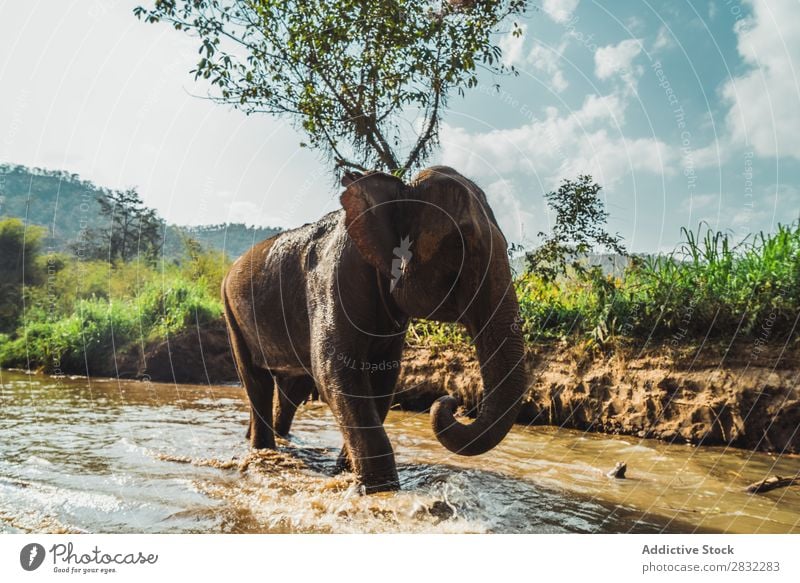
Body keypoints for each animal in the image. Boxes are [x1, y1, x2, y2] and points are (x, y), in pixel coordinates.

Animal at [222, 164, 528, 492]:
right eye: (462, 243)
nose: (450, 401)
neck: (398, 190)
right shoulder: (332, 280)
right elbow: (334, 373)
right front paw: (380, 490)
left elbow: (383, 379)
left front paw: (347, 474)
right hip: (231, 312)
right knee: (257, 381)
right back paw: (263, 451)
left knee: (292, 387)